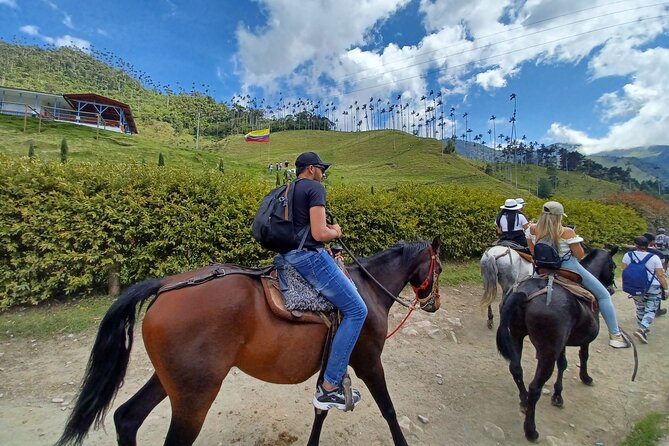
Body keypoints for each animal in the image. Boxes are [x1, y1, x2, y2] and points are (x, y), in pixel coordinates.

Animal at [57, 239, 440, 446]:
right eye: (437, 269)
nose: (434, 303)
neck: (367, 289)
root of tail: (165, 286)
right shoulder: (368, 361)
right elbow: (389, 410)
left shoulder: (333, 367)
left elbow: (320, 411)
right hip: (194, 397)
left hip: (170, 381)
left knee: (127, 417)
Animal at [496, 247, 616, 442]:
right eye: (613, 266)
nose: (611, 288)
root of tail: (524, 294)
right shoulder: (581, 340)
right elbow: (583, 356)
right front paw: (585, 378)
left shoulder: (561, 343)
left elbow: (563, 363)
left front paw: (558, 395)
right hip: (548, 351)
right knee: (535, 386)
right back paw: (531, 431)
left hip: (516, 334)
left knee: (516, 369)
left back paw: (524, 401)